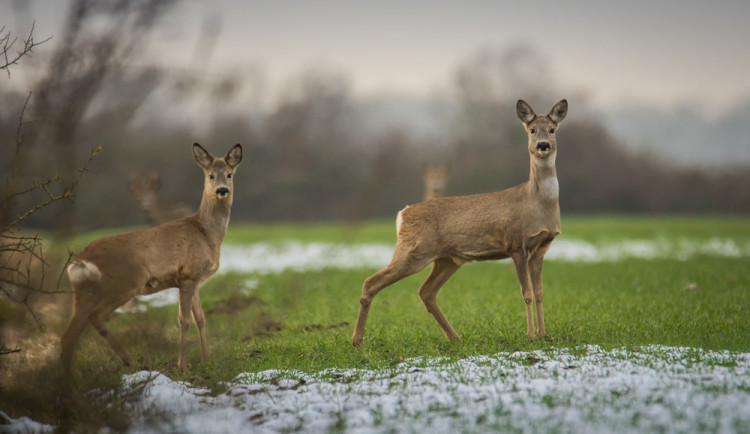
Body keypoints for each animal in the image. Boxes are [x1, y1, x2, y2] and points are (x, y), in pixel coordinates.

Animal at [62, 142, 244, 372]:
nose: (222, 190)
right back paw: (126, 362)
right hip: (125, 282)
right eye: (211, 175)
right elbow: (184, 320)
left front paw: (206, 360)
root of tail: (80, 261)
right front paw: (183, 366)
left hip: (84, 292)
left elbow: (200, 319)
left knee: (70, 333)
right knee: (95, 317)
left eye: (229, 174)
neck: (206, 233)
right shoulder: (187, 275)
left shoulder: (194, 280)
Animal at [352, 98, 568, 346]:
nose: (543, 145)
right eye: (532, 130)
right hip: (413, 251)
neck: (537, 203)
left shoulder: (541, 247)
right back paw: (357, 341)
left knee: (426, 291)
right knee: (371, 282)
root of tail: (402, 214)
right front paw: (531, 335)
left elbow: (540, 293)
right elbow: (527, 294)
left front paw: (544, 334)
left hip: (447, 259)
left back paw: (455, 337)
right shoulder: (517, 245)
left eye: (552, 129)